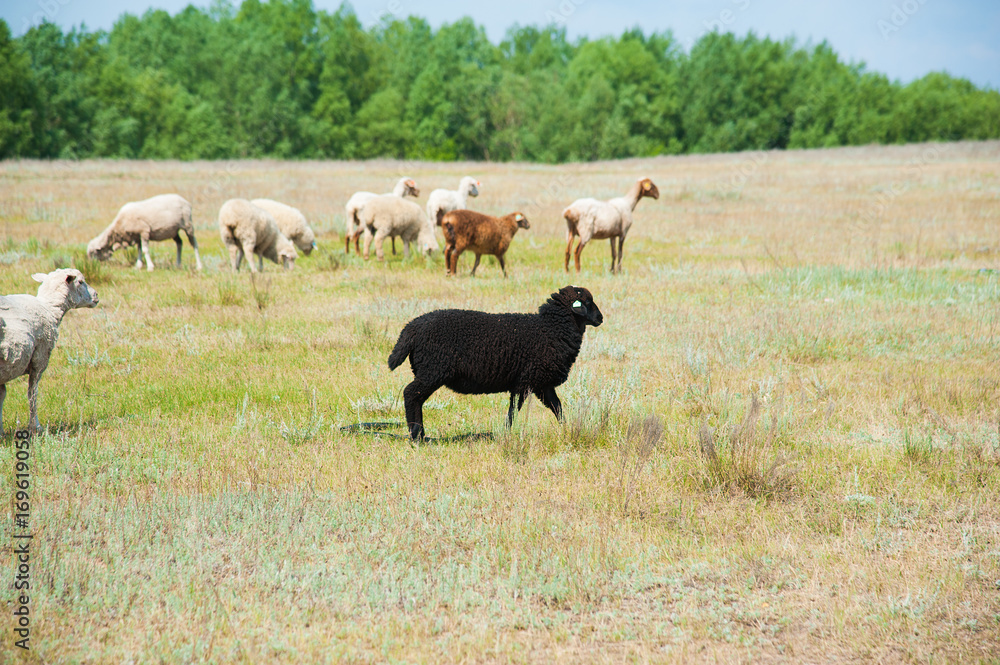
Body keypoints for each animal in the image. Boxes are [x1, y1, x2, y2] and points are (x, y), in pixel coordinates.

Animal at [0, 269, 99, 434]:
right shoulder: (39, 359)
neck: (49, 308)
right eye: (80, 281)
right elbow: (32, 395)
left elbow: (2, 395)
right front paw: (36, 426)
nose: (96, 295)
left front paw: (0, 430)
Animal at [387, 285, 603, 441]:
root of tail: (411, 327)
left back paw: (420, 435)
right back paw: (416, 437)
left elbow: (557, 407)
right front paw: (506, 434)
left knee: (417, 398)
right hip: (432, 370)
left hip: (428, 371)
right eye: (588, 302)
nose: (601, 318)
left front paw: (565, 428)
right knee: (410, 394)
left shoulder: (541, 384)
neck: (550, 329)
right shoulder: (525, 381)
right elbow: (513, 411)